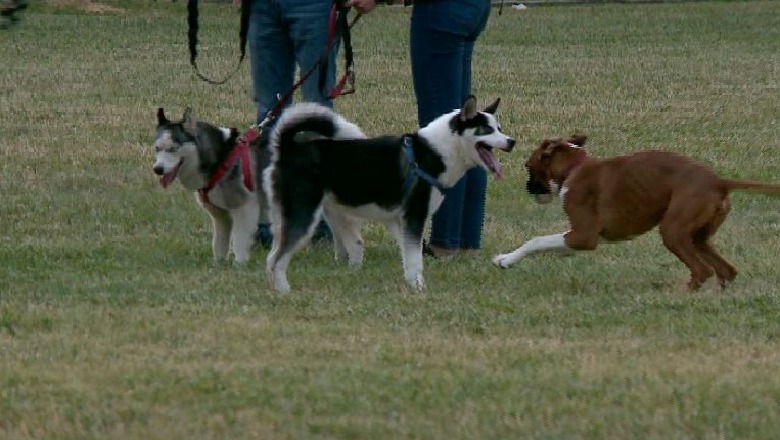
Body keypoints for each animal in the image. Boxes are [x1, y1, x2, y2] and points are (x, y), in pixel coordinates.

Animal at [494, 132, 780, 288]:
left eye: (527, 166)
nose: (527, 188)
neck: (575, 168)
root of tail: (718, 181)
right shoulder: (581, 238)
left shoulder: (583, 236)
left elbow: (536, 241)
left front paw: (506, 260)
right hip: (698, 237)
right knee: (725, 271)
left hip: (673, 232)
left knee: (702, 271)